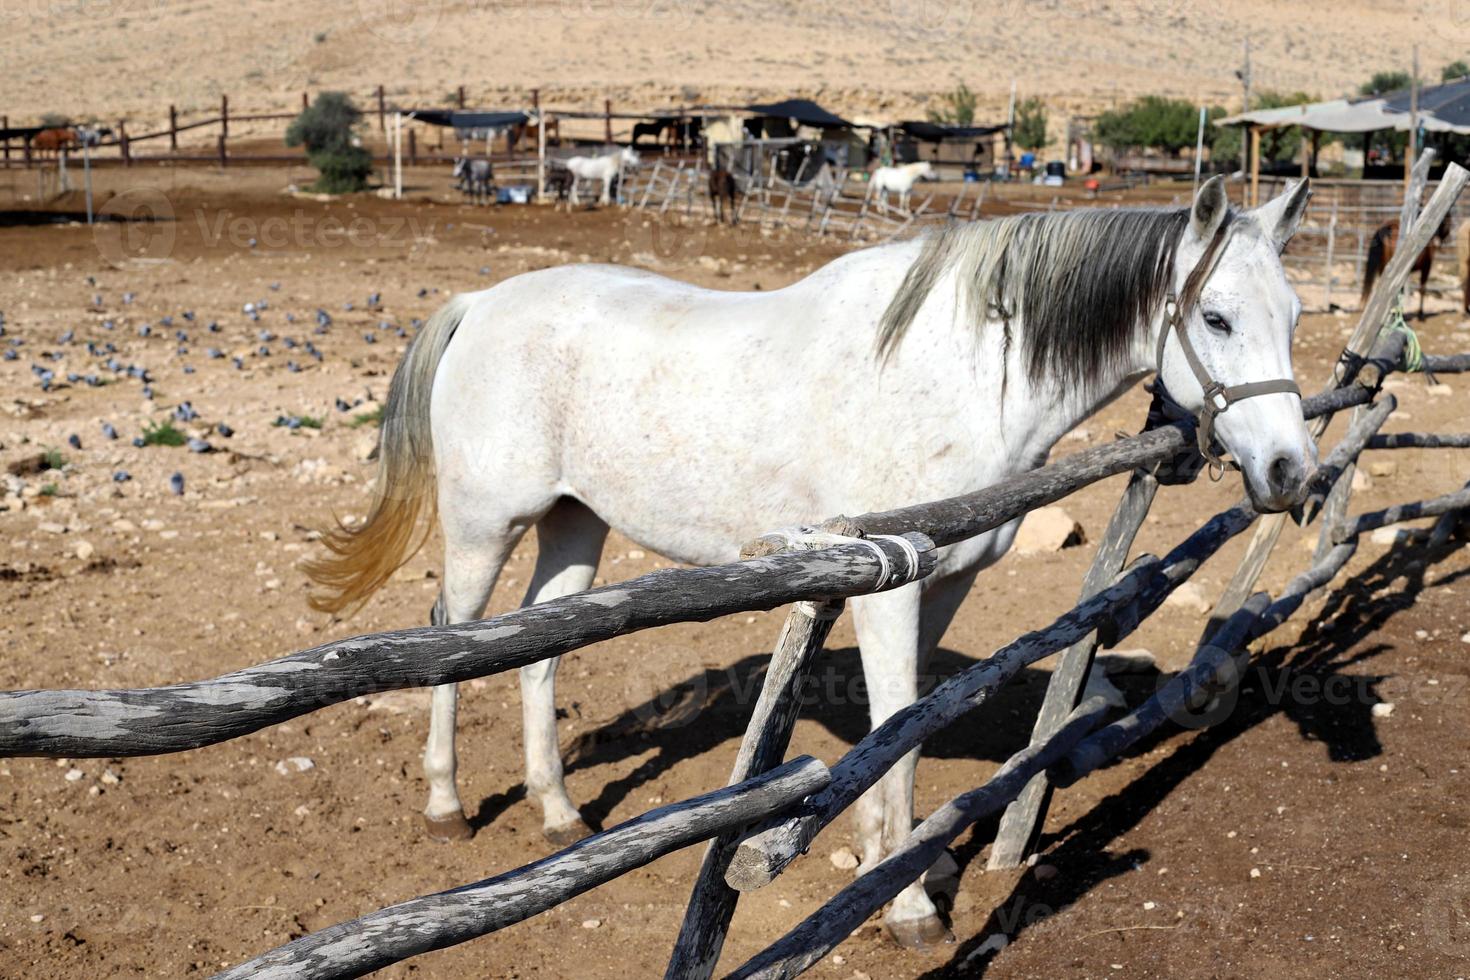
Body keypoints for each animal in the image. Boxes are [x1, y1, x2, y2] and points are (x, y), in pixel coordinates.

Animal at [307, 176, 1311, 952]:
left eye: (1296, 315)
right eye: (1216, 317)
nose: (1292, 471)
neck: (962, 372)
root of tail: (481, 305)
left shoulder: (943, 587)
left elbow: (897, 732)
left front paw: (881, 861)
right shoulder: (887, 590)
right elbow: (898, 730)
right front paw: (910, 911)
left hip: (572, 527)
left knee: (536, 657)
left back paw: (558, 812)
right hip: (488, 524)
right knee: (453, 640)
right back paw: (446, 806)